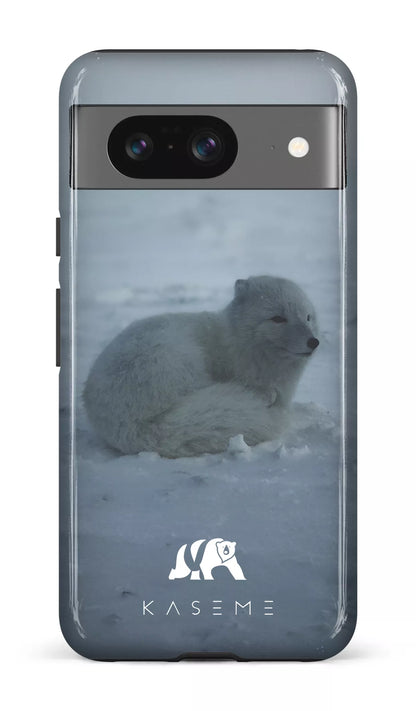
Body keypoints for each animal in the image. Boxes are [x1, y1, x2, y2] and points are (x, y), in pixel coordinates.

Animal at [83, 276, 319, 458]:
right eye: (277, 318)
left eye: (307, 317)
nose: (313, 342)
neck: (237, 343)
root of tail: (132, 426)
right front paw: (265, 394)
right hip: (177, 359)